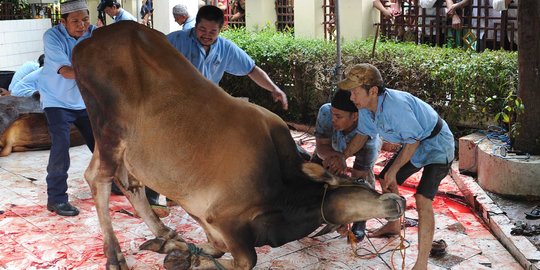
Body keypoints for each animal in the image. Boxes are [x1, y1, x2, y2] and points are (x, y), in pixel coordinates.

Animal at [71, 21, 404, 270]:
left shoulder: (209, 219)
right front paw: (189, 258)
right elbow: (246, 260)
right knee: (99, 178)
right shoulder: (226, 218)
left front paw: (184, 251)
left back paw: (165, 234)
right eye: (361, 186)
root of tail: (91, 39)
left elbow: (217, 248)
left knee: (129, 183)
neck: (284, 200)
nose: (398, 200)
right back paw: (115, 257)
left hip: (123, 145)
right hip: (109, 127)